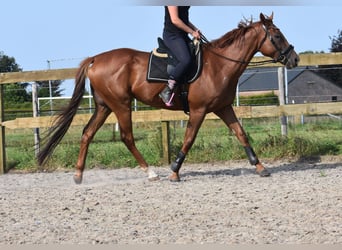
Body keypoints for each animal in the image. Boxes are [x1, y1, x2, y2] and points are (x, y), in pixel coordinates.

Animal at [38, 13, 300, 184]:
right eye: (277, 35)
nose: (294, 59)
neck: (220, 65)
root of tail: (95, 59)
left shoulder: (224, 107)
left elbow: (241, 134)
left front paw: (260, 166)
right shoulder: (199, 110)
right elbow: (189, 139)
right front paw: (174, 171)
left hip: (104, 106)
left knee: (87, 133)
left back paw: (78, 174)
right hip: (121, 105)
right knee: (126, 137)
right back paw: (151, 172)